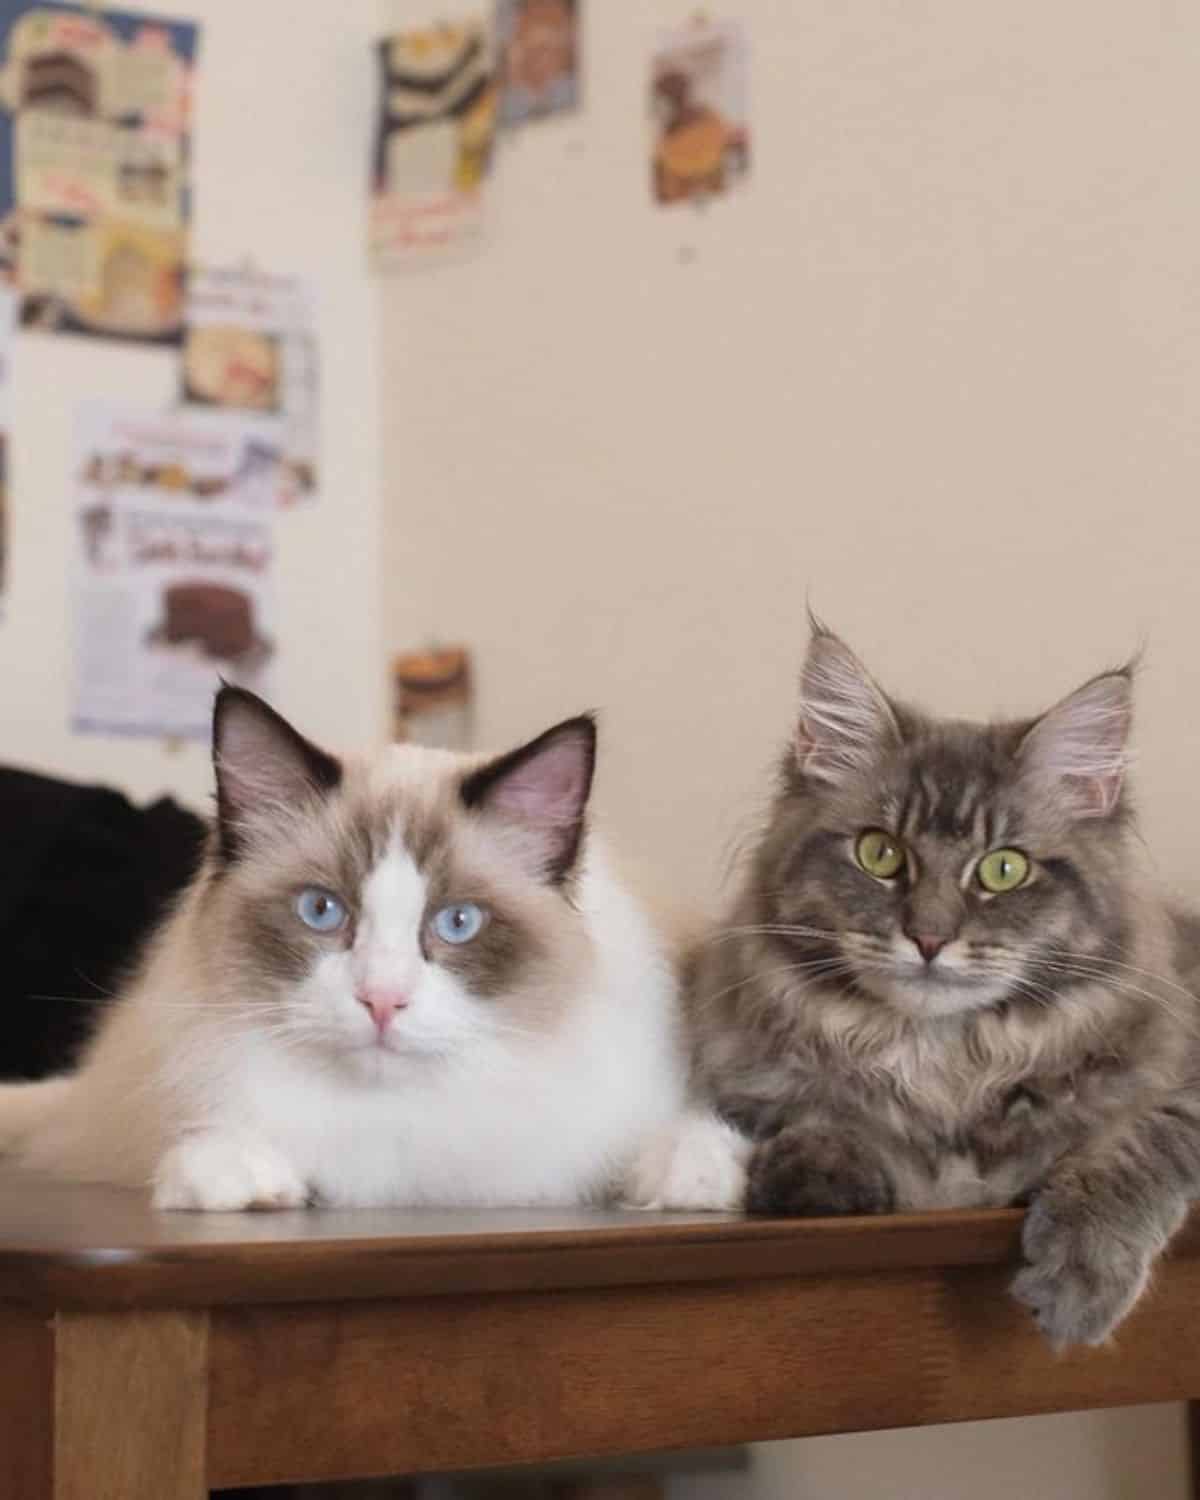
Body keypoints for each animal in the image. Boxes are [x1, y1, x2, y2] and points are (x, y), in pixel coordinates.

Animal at [627, 621, 1200, 1350]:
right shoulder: (757, 1079)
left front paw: (1079, 1280)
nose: (929, 938)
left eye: (1004, 869)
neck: (947, 1063)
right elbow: (821, 1117)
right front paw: (817, 1170)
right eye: (881, 854)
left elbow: (1135, 1144)